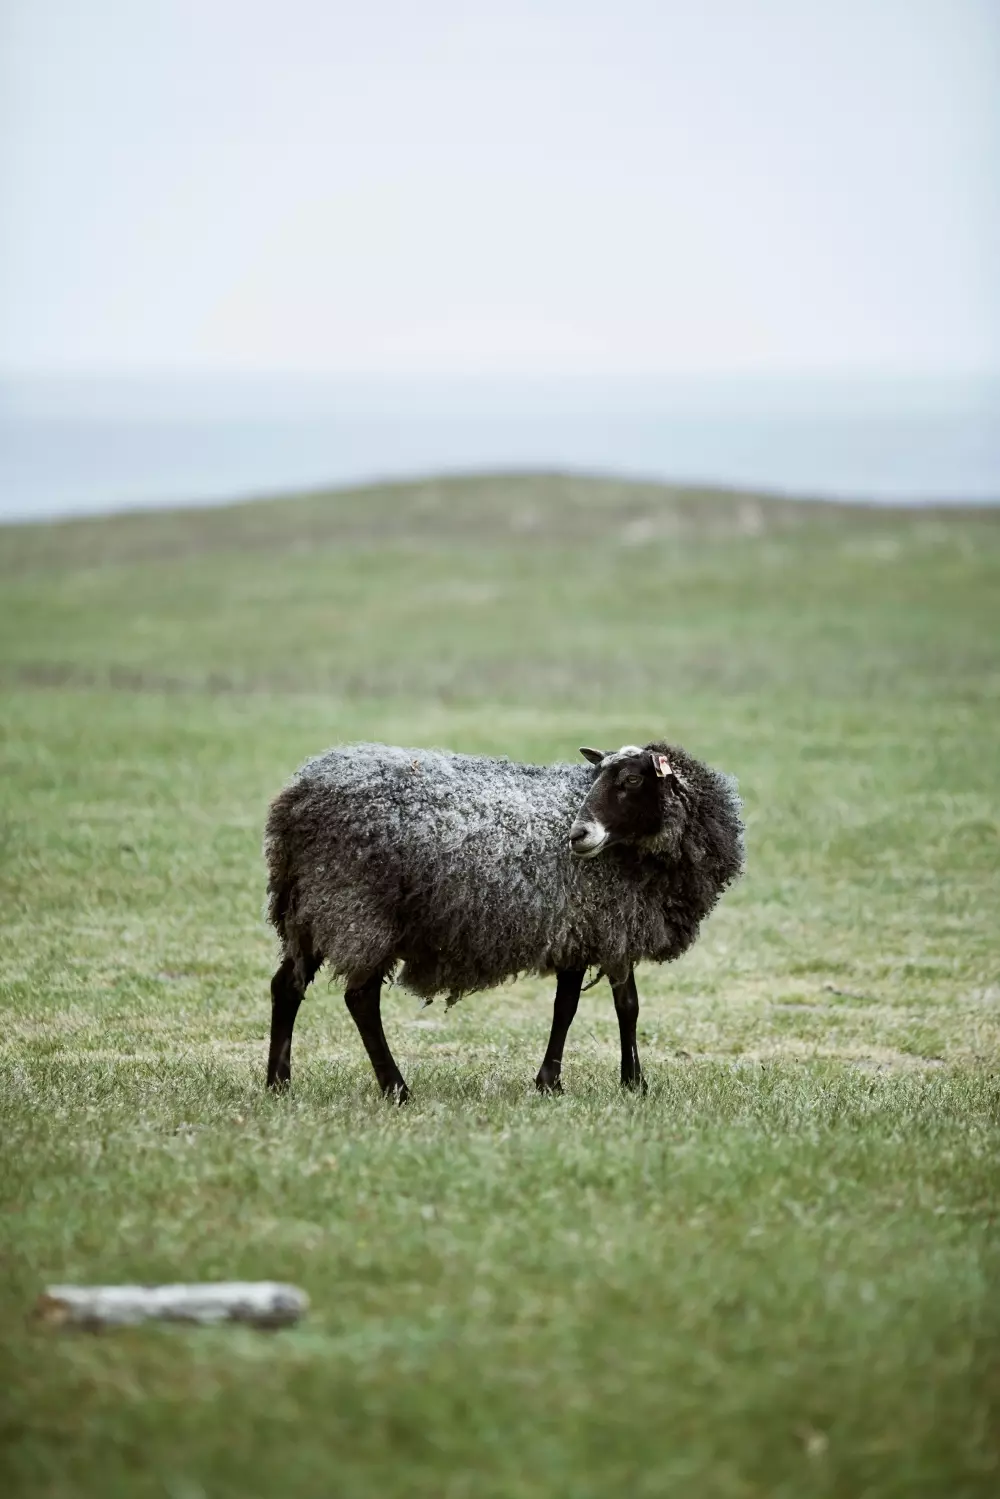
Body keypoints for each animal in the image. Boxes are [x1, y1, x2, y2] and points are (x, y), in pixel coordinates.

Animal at [262, 740, 746, 1103]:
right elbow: (619, 1007)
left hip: (310, 909)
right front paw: (629, 1083)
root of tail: (297, 797)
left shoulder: (581, 928)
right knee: (360, 999)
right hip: (357, 908)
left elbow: (575, 1007)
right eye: (598, 778)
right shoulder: (610, 922)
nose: (577, 835)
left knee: (287, 986)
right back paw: (396, 1089)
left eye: (630, 780)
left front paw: (558, 1082)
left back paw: (277, 1084)